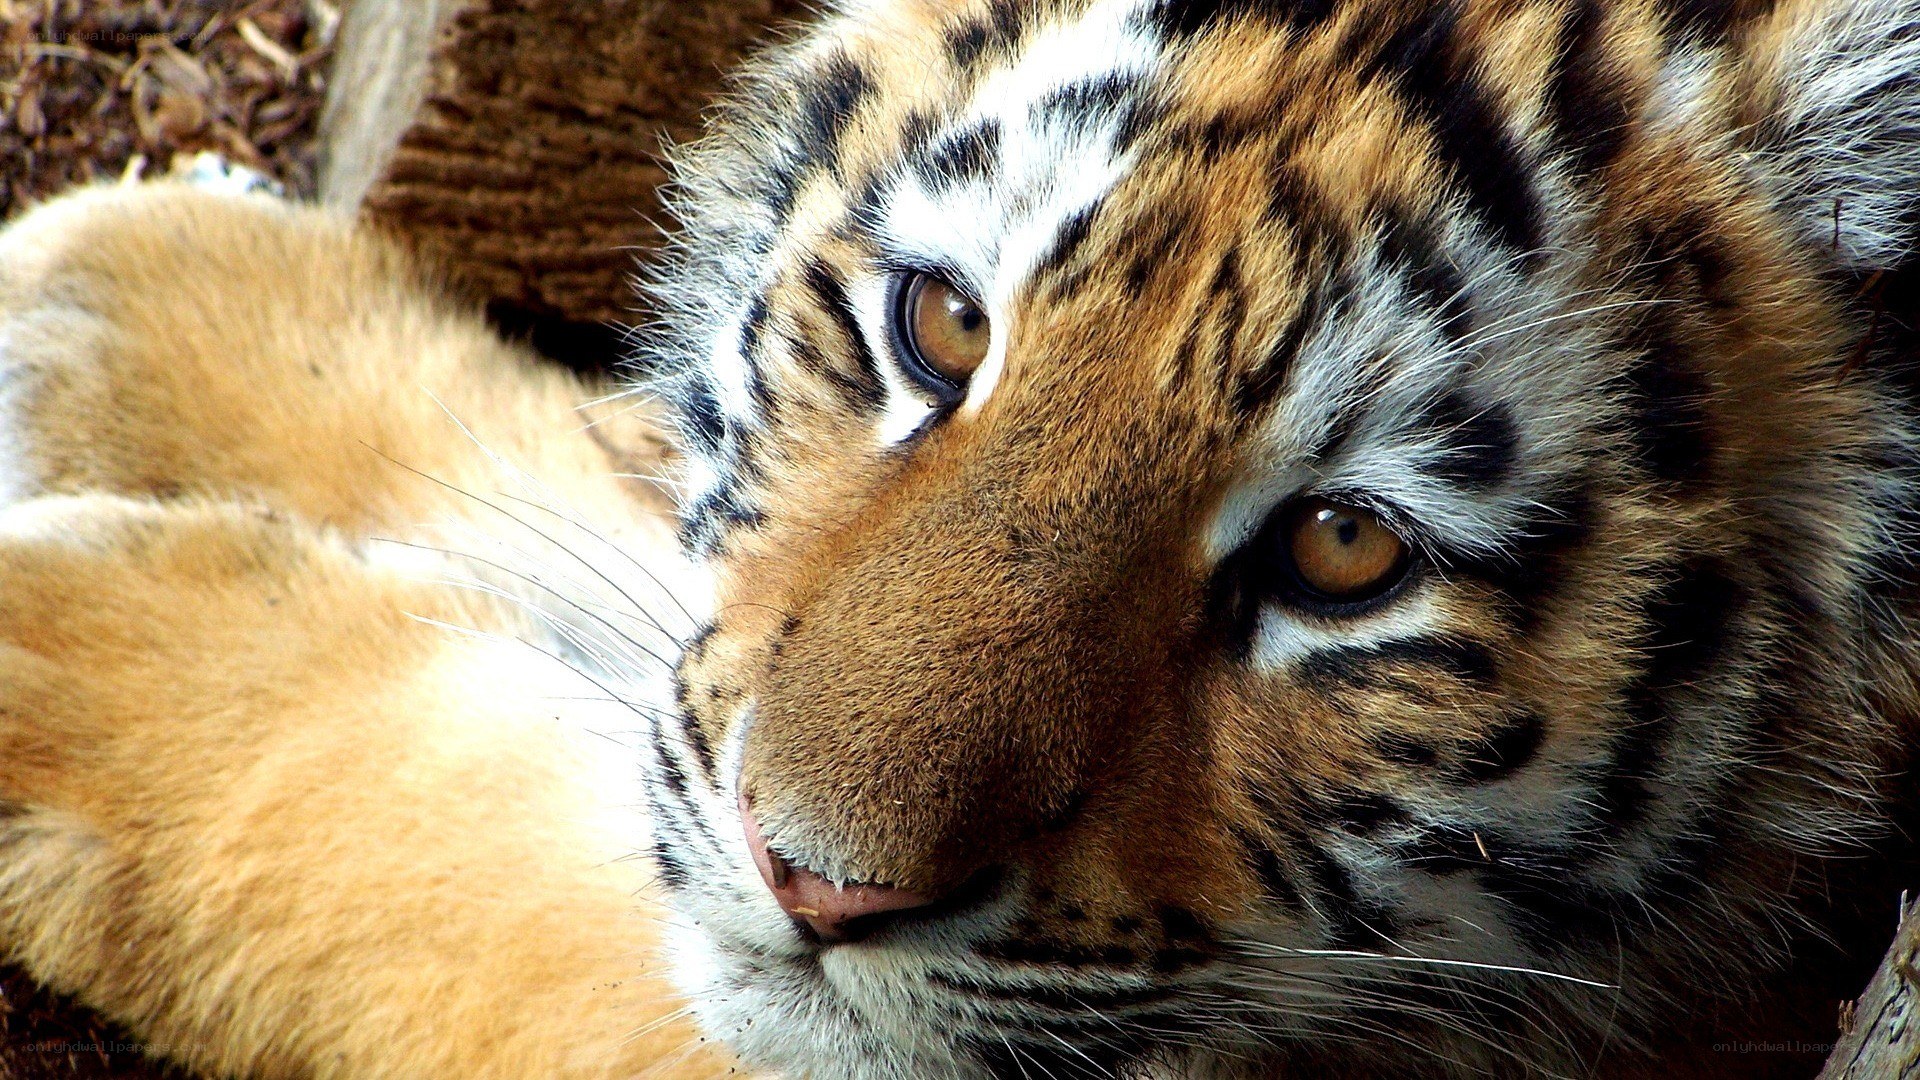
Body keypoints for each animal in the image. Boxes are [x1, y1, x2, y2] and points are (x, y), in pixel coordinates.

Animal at [3, 0, 1920, 1076]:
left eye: (1345, 553)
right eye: (936, 326)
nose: (812, 883)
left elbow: (435, 842)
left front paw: (68, 666)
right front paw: (130, 306)